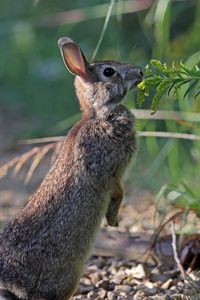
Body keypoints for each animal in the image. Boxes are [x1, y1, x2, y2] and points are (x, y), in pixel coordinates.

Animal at [0, 37, 144, 300]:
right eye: (109, 72)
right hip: (68, 279)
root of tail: (9, 286)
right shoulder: (111, 171)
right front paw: (114, 220)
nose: (140, 72)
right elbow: (118, 193)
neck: (98, 116)